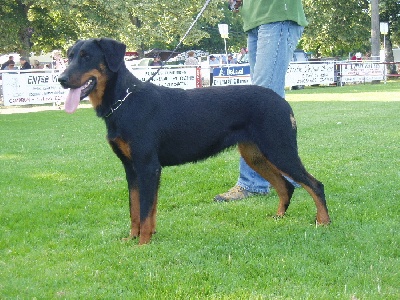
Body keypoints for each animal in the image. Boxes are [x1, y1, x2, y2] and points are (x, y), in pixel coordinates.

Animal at [57, 37, 330, 245]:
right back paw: (278, 218)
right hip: (255, 154)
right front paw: (133, 238)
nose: (61, 79)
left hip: (279, 149)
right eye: (70, 56)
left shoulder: (147, 166)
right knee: (286, 187)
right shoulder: (131, 169)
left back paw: (324, 222)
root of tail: (282, 102)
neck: (123, 102)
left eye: (87, 56)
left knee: (314, 185)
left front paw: (143, 243)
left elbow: (144, 210)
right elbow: (135, 209)